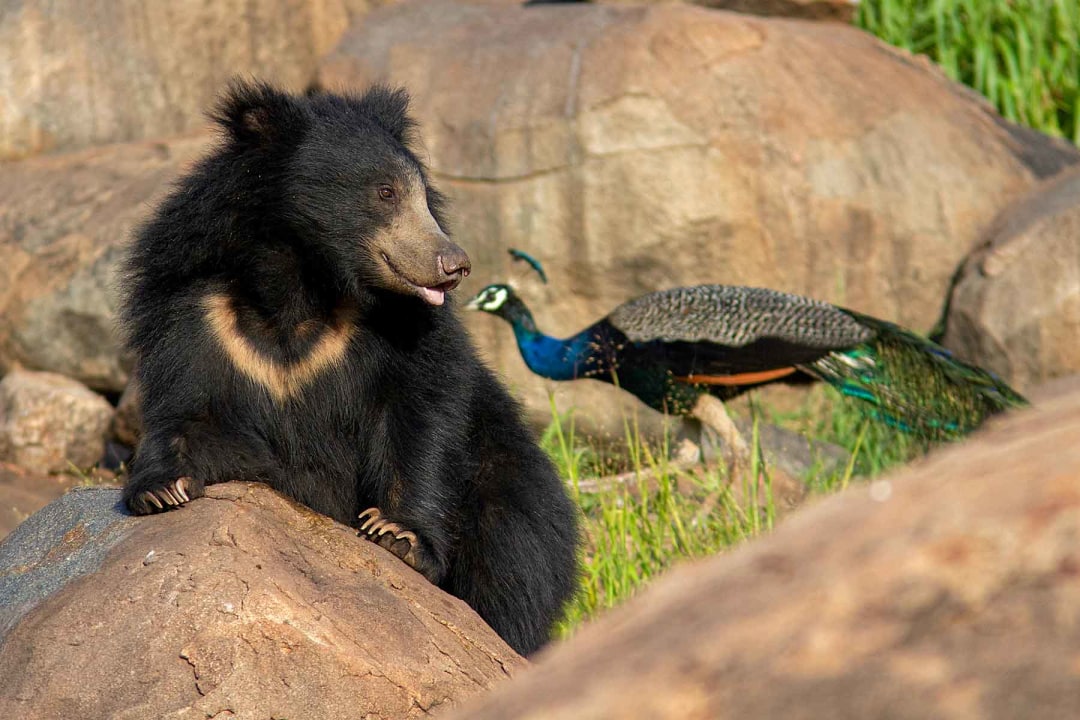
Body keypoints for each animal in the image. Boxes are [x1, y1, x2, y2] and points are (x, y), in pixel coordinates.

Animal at [121, 81, 578, 656]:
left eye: (423, 196)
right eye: (385, 192)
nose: (454, 264)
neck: (299, 285)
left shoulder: (402, 331)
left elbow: (417, 416)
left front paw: (397, 534)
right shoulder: (196, 314)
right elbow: (189, 407)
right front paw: (162, 489)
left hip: (508, 476)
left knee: (514, 555)